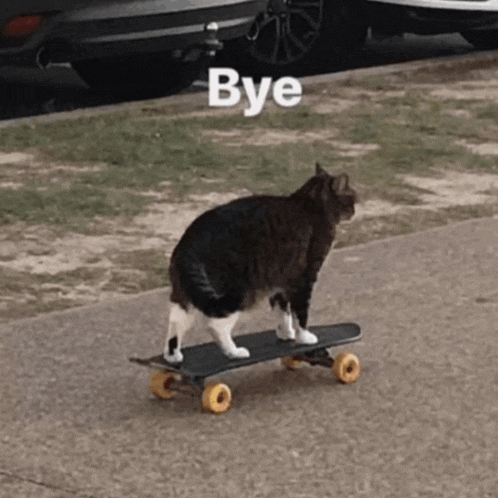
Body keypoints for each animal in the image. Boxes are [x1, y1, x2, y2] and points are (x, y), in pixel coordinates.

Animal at [165, 163, 356, 362]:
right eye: (352, 198)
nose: (354, 211)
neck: (310, 204)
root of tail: (189, 241)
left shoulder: (280, 280)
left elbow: (283, 313)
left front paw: (286, 334)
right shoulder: (304, 278)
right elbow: (300, 313)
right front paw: (305, 338)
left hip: (186, 294)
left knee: (175, 322)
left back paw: (173, 356)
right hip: (235, 293)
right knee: (215, 325)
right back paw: (234, 353)